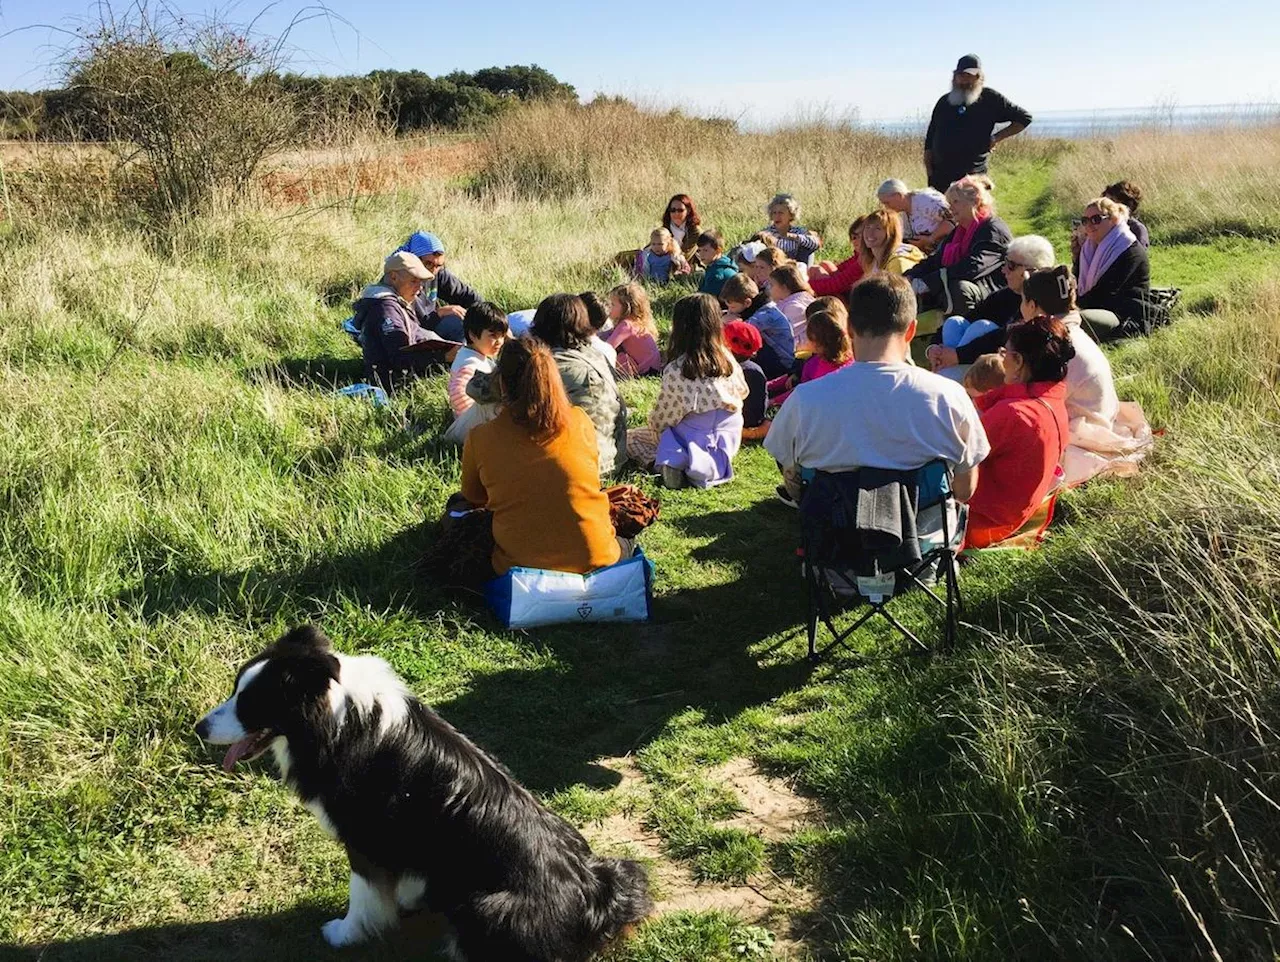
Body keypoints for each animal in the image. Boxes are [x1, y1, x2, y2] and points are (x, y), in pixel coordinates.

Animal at [194, 626, 655, 956]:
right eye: (235, 690)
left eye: (250, 703)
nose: (198, 728)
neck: (337, 722)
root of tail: (595, 898)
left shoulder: (365, 837)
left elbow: (361, 895)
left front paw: (344, 933)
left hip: (488, 906)